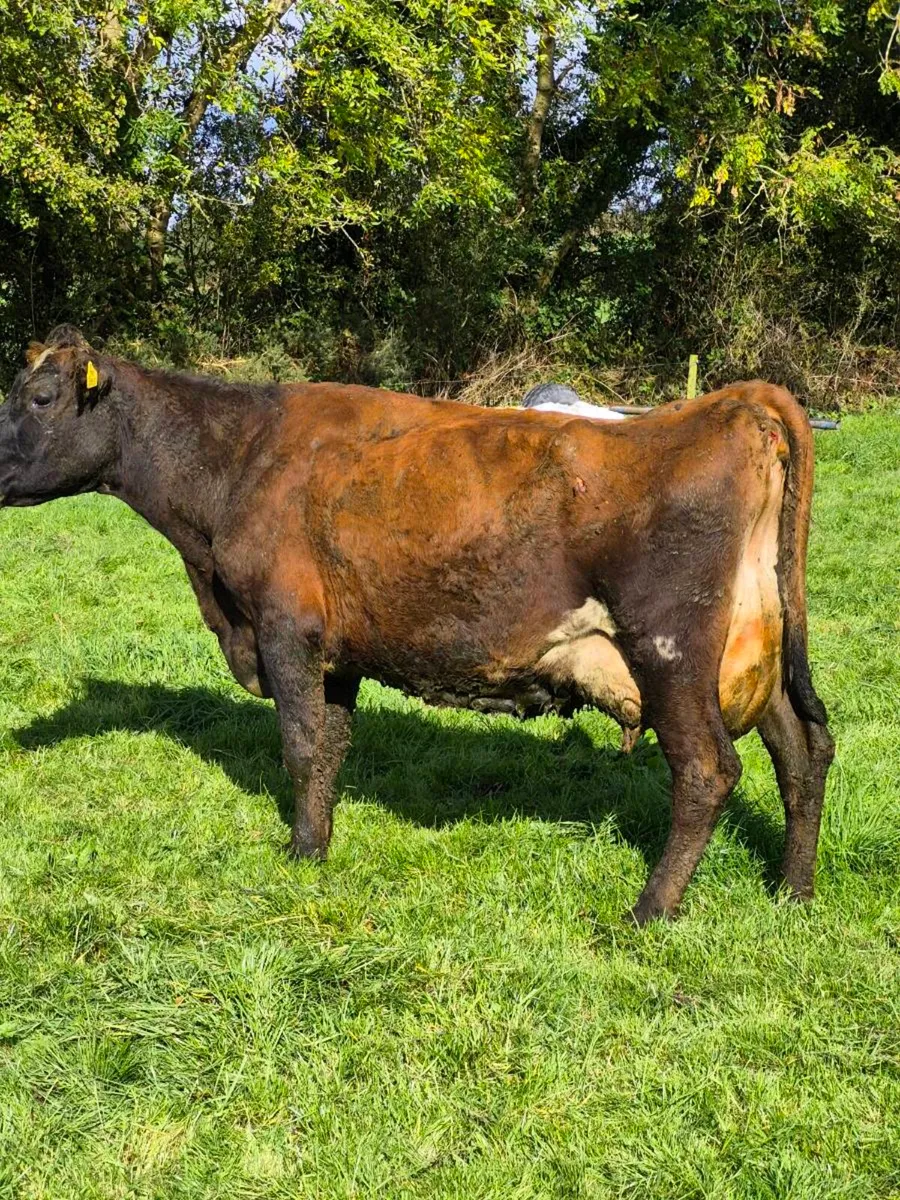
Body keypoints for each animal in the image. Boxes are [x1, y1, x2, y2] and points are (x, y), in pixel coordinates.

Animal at [0, 325, 835, 923]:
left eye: (39, 397)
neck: (240, 459)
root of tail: (725, 404)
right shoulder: (335, 650)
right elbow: (331, 748)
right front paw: (321, 841)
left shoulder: (283, 626)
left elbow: (300, 747)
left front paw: (300, 857)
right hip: (755, 649)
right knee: (804, 750)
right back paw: (792, 892)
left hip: (671, 649)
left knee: (708, 771)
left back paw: (650, 909)